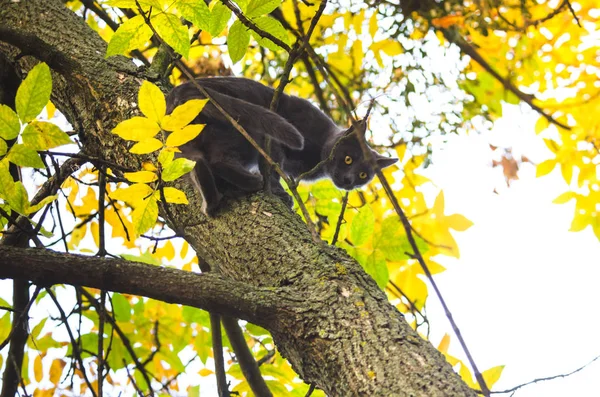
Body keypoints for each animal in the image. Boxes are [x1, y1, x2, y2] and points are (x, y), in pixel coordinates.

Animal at [165, 76, 398, 213]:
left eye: (363, 175)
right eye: (348, 158)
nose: (349, 181)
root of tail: (183, 89)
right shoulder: (276, 141)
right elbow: (272, 167)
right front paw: (279, 192)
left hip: (186, 141)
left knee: (198, 163)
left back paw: (212, 201)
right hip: (240, 129)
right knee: (218, 161)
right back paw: (253, 183)